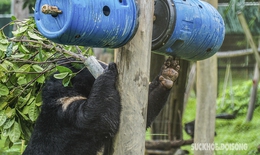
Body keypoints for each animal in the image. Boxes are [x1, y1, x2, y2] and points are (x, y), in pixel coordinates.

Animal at [23, 57, 180, 155]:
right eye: (100, 62)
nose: (108, 63)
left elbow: (145, 108)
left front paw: (168, 73)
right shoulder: (65, 113)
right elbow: (96, 116)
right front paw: (109, 71)